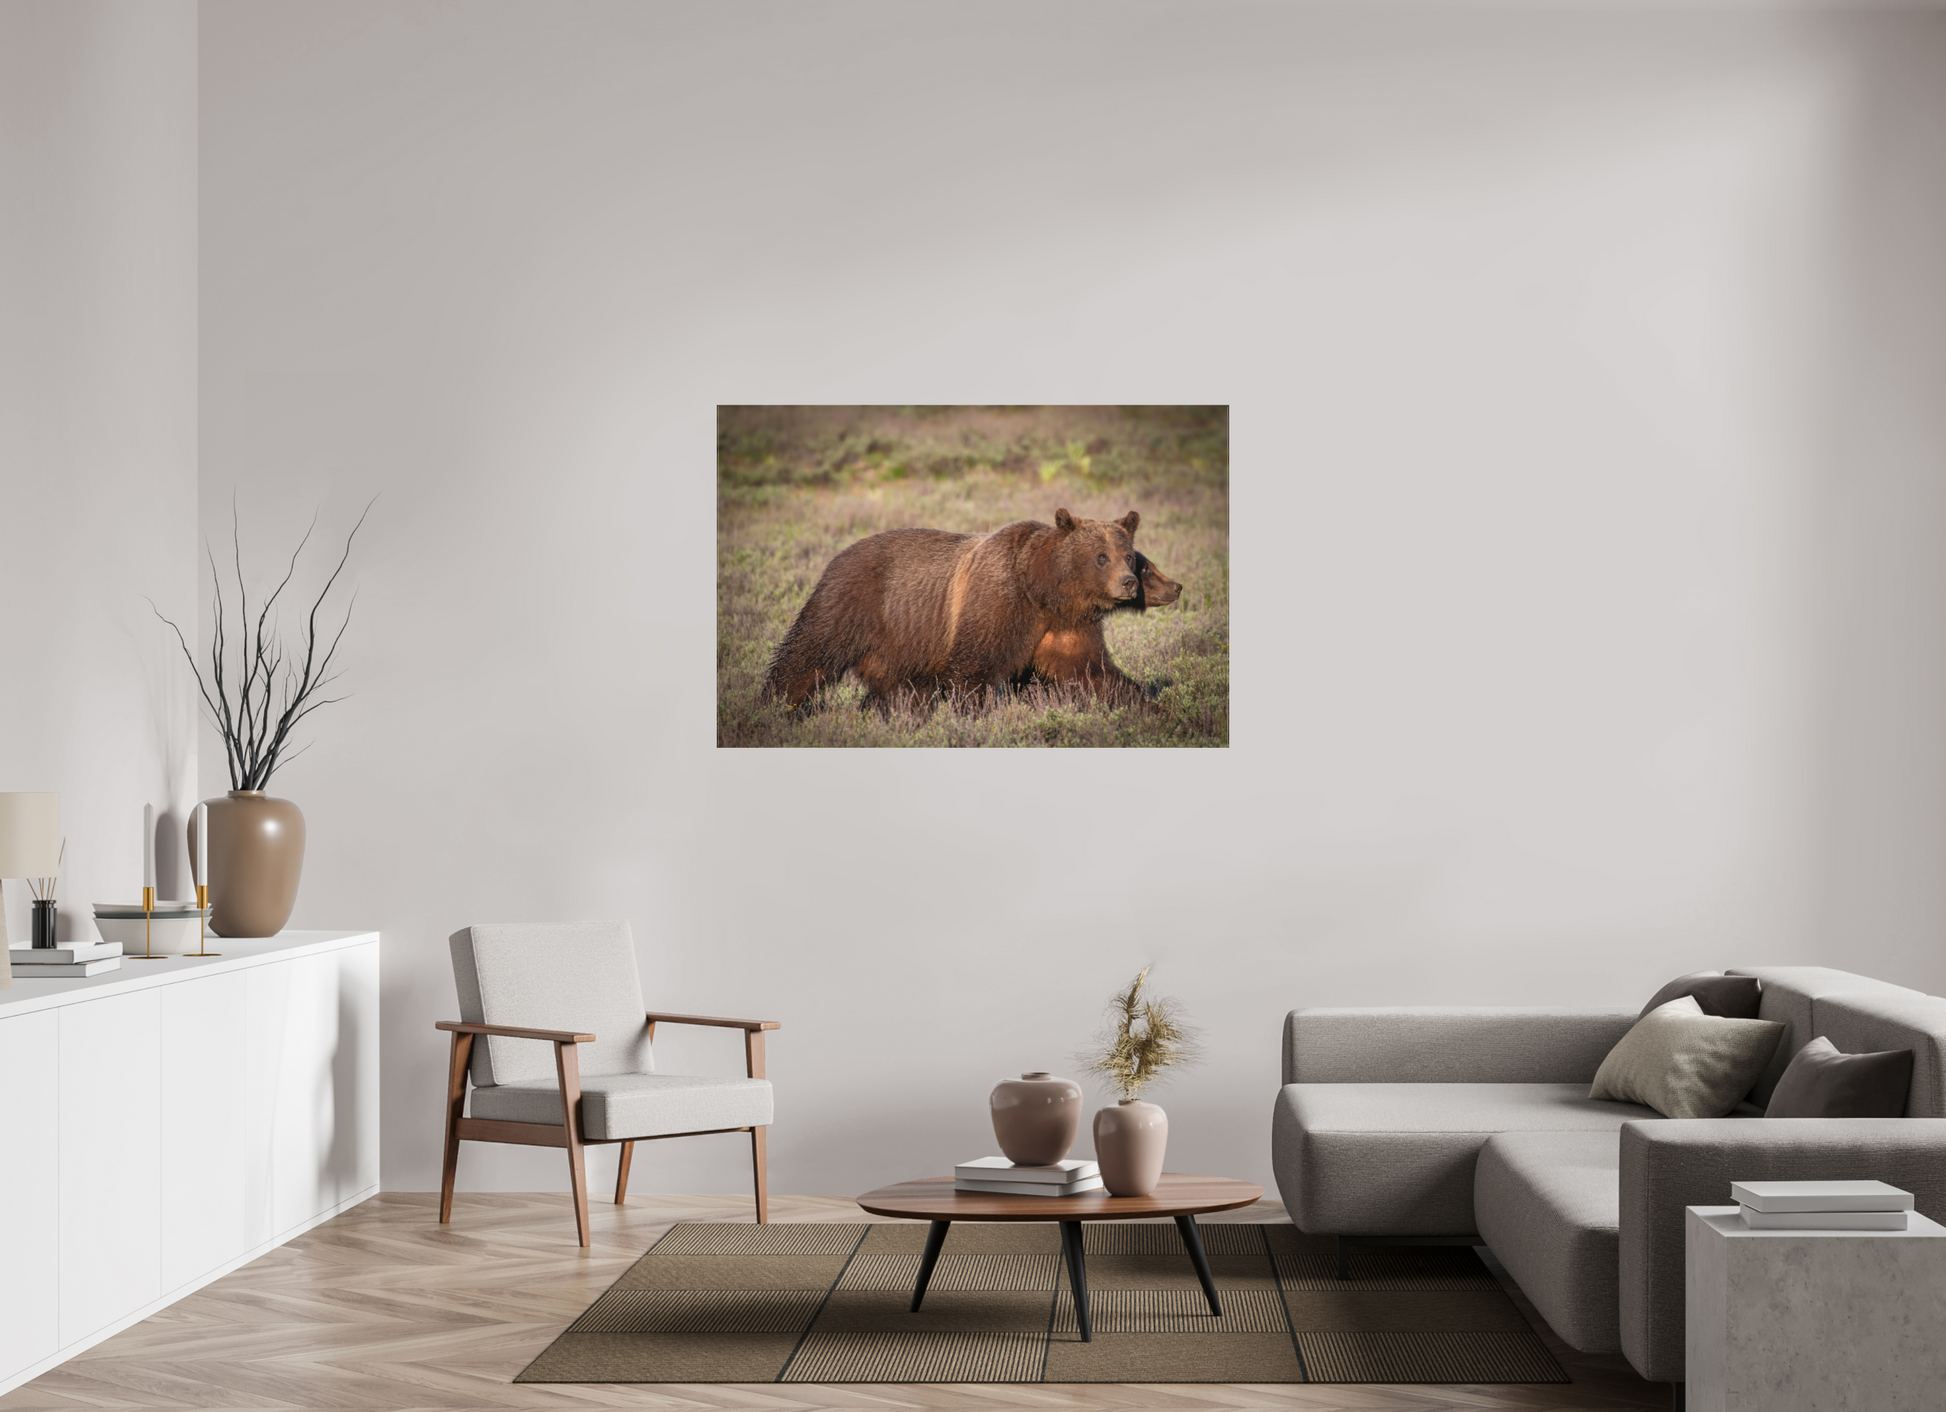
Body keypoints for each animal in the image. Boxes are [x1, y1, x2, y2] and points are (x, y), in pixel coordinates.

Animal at [764, 508, 1143, 709]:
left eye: (1128, 556)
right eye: (1101, 557)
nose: (1128, 583)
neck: (1044, 591)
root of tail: (837, 556)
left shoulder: (1066, 626)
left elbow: (1092, 672)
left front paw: (1143, 704)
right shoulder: (997, 602)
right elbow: (972, 669)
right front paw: (976, 712)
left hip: (897, 645)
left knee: (899, 689)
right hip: (850, 603)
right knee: (807, 655)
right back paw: (777, 705)